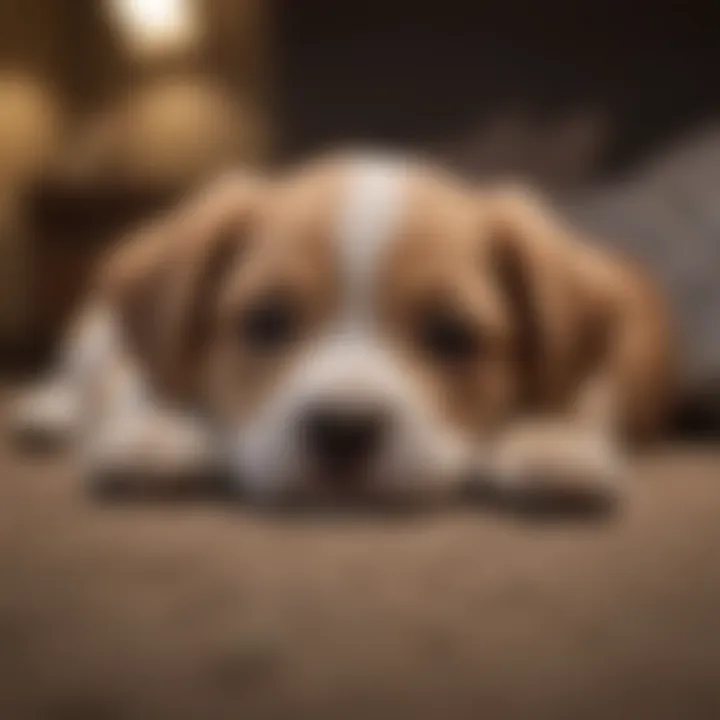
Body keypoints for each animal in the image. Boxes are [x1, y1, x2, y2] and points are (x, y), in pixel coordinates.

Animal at [9, 153, 676, 506]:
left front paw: (552, 438)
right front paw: (159, 429)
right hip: (92, 336)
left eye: (451, 335)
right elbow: (158, 376)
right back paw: (44, 414)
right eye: (266, 321)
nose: (343, 431)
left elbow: (570, 389)